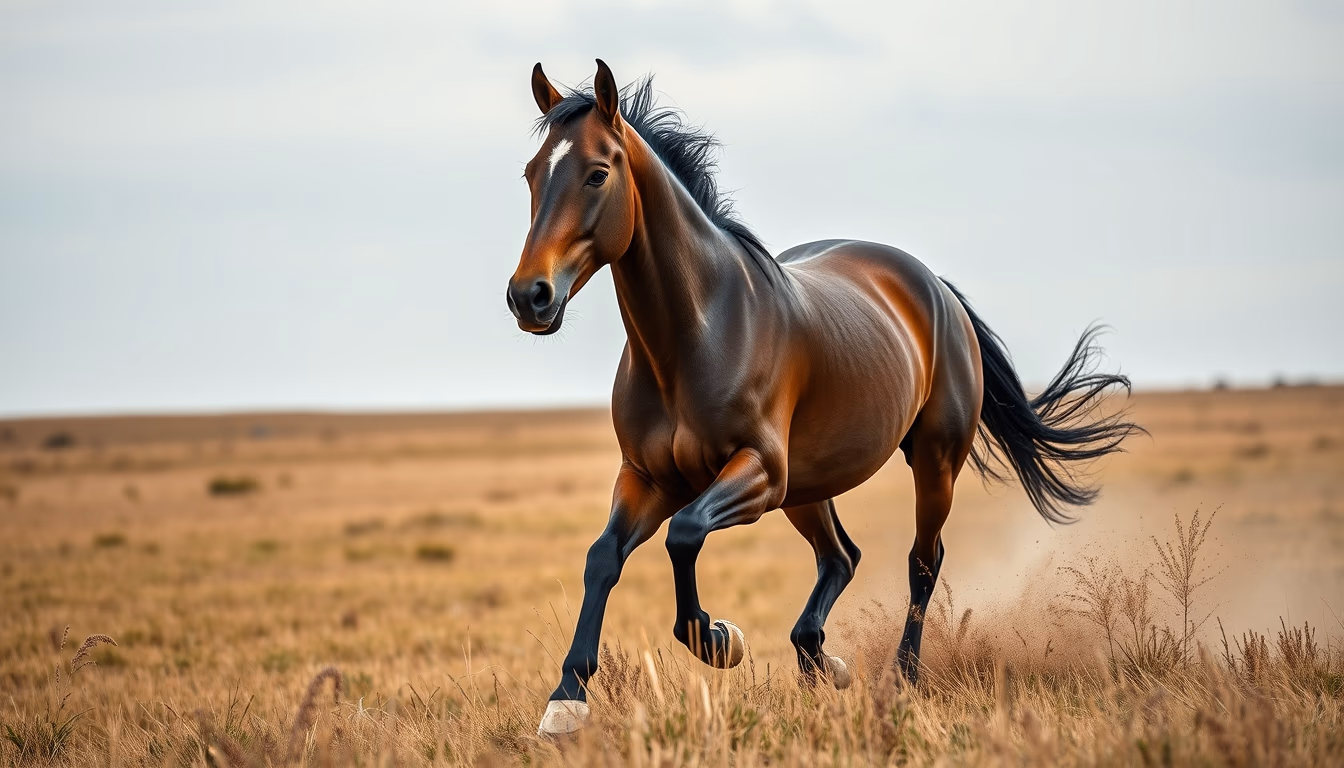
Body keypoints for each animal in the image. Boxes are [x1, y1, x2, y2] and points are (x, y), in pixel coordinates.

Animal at [507, 60, 1142, 738]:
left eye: (598, 173)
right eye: (532, 173)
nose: (529, 296)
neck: (697, 334)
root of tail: (934, 287)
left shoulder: (758, 471)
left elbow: (685, 533)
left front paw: (719, 639)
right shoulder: (647, 477)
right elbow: (603, 557)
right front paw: (566, 699)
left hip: (928, 463)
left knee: (922, 561)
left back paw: (901, 677)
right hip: (809, 488)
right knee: (842, 557)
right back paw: (822, 659)